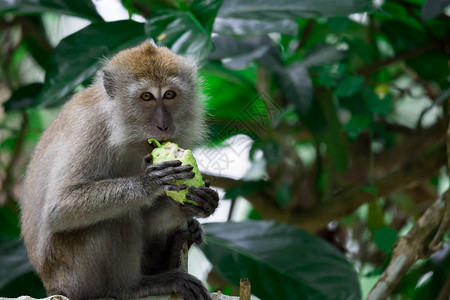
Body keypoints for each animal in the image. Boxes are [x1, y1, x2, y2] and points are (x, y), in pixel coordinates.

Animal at [19, 40, 220, 300]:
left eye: (169, 95)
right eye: (146, 97)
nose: (163, 125)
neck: (124, 131)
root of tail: (52, 286)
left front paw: (200, 203)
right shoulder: (91, 129)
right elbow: (58, 208)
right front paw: (150, 182)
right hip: (74, 275)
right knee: (117, 216)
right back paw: (132, 286)